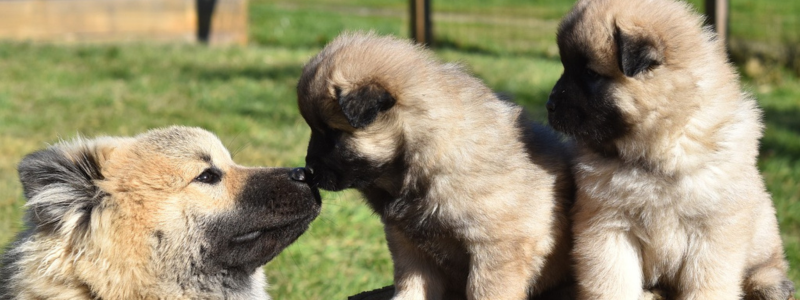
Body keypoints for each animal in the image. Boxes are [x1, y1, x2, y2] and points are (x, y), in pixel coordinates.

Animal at [296, 33, 572, 300]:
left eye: (333, 133)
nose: (308, 171)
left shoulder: (495, 246)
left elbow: (484, 289)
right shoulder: (407, 241)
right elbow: (411, 282)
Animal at [548, 0, 796, 300]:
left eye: (590, 74)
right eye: (565, 67)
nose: (549, 105)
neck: (657, 152)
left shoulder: (713, 232)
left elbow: (707, 284)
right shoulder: (607, 226)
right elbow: (613, 282)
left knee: (769, 268)